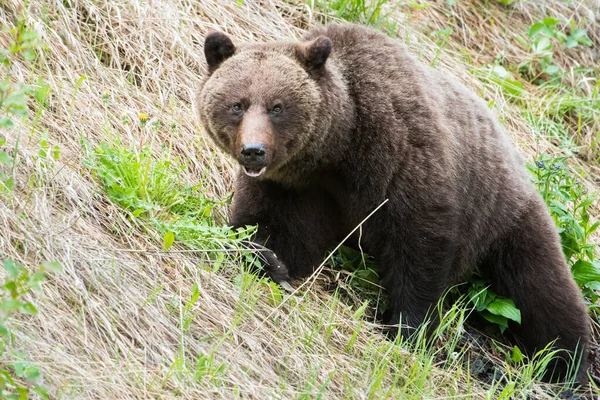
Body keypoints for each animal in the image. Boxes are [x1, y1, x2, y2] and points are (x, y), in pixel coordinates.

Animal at [197, 22, 592, 382]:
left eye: (278, 107)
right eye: (237, 104)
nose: (253, 151)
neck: (337, 149)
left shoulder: (400, 152)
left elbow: (420, 241)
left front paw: (406, 327)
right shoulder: (297, 189)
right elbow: (271, 229)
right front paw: (266, 260)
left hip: (503, 210)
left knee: (540, 288)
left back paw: (568, 364)